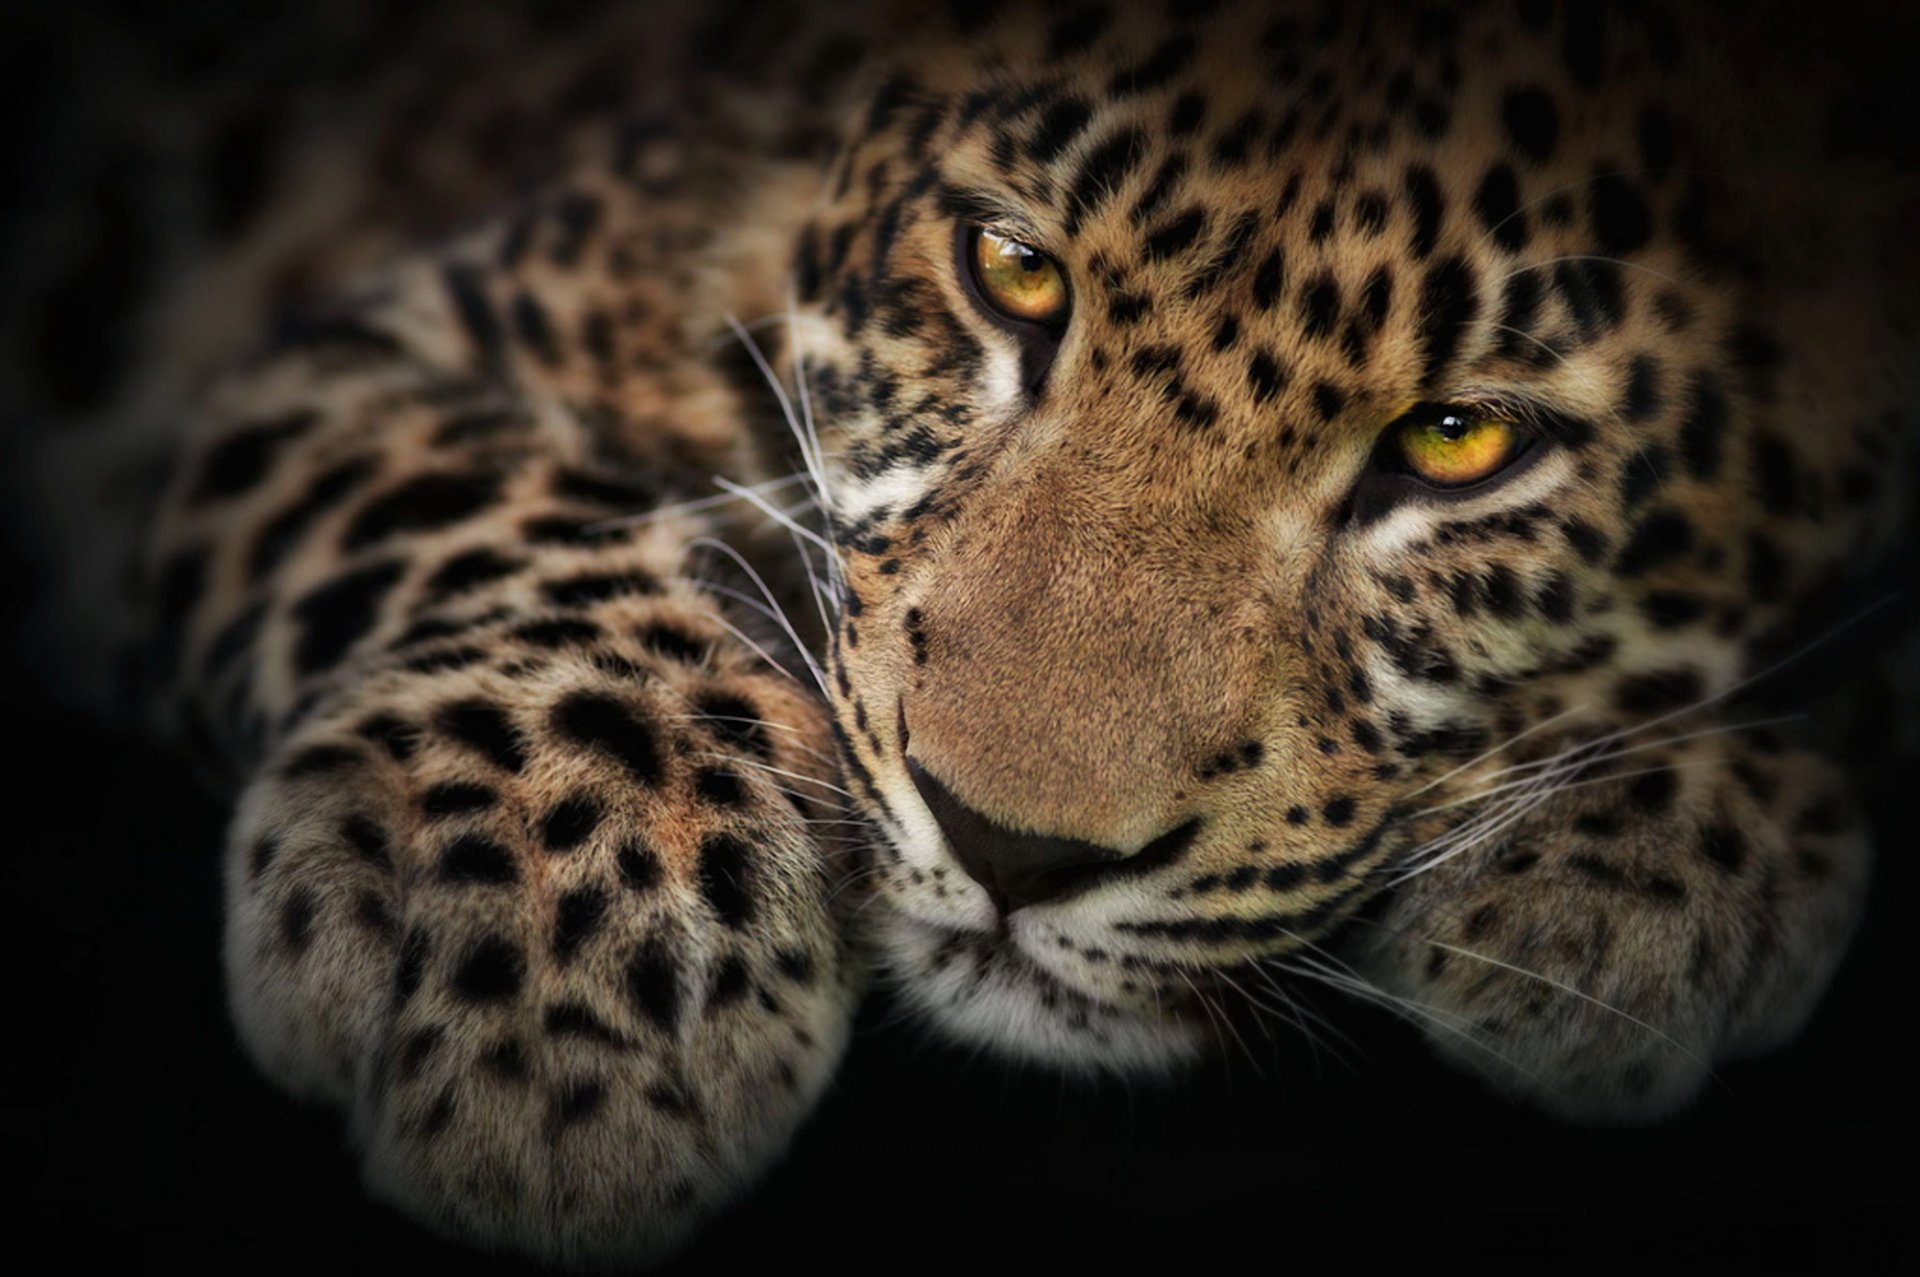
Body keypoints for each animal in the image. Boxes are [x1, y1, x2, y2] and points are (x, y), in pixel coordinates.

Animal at [8, 0, 1916, 1268]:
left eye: (1460, 440)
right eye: (1011, 271)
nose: (1011, 852)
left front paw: (1648, 861)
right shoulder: (356, 354)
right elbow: (488, 500)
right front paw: (562, 980)